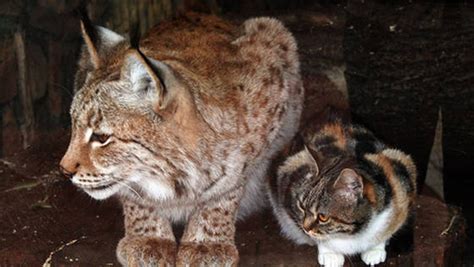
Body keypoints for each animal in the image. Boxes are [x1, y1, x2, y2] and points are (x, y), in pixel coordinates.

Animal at [268, 112, 416, 266]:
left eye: (323, 217)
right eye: (302, 207)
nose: (305, 228)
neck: (352, 234)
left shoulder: (401, 175)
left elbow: (389, 229)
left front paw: (375, 250)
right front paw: (330, 255)